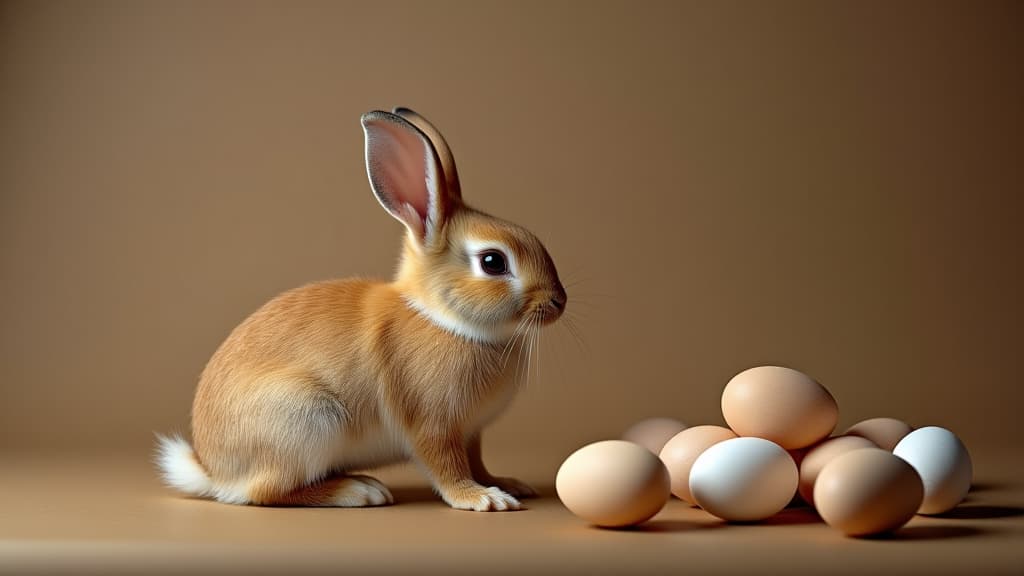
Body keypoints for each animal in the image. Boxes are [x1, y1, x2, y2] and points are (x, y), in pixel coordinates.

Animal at [155, 105, 565, 508]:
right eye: (493, 262)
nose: (558, 302)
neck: (442, 318)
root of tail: (212, 471)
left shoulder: (471, 432)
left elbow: (477, 462)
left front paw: (505, 484)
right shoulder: (433, 425)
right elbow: (447, 467)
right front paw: (482, 498)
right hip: (307, 419)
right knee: (267, 492)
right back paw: (358, 491)